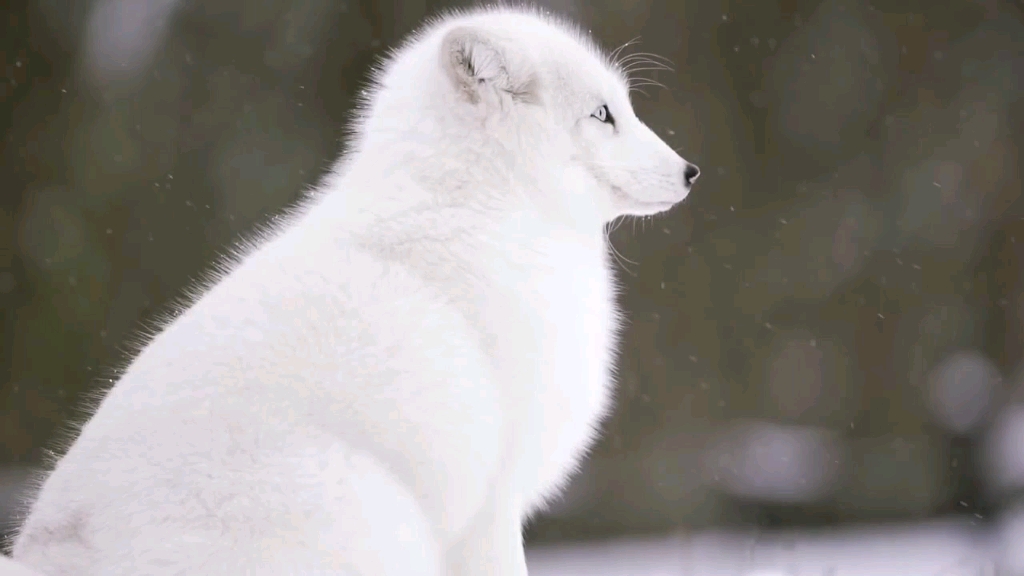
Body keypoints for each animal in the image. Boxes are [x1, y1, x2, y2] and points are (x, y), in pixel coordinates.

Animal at [9, 5, 696, 573]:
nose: (691, 171)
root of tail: (50, 549)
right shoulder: (491, 503)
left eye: (624, 106)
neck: (484, 207)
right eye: (602, 114)